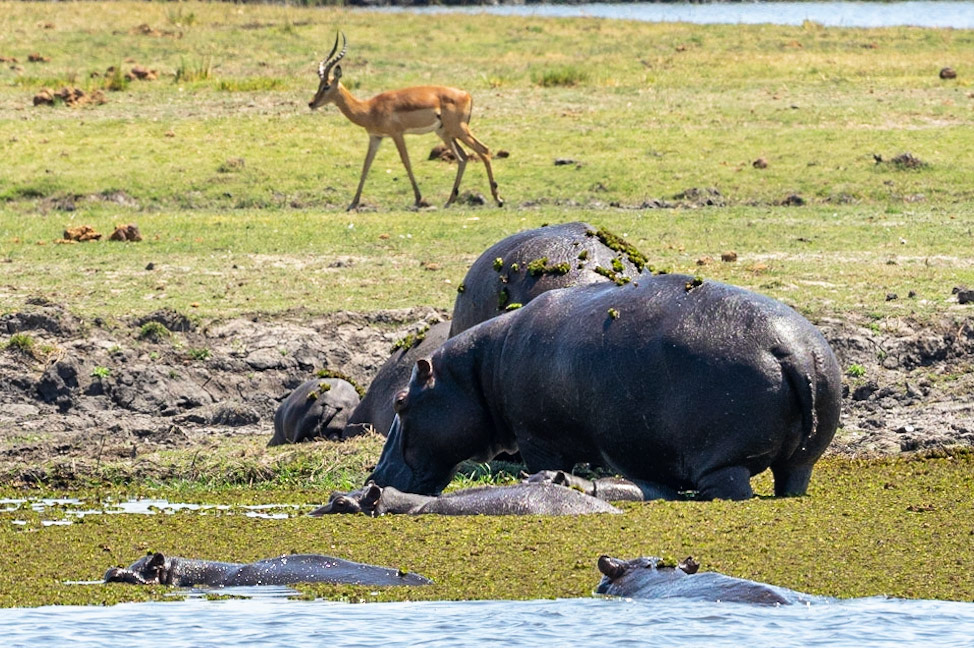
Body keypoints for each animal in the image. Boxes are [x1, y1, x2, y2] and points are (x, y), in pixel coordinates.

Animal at [369, 274, 842, 500]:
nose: (375, 475)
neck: (479, 371)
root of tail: (794, 350)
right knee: (793, 479)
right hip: (803, 458)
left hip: (723, 463)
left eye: (401, 402)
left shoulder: (538, 439)